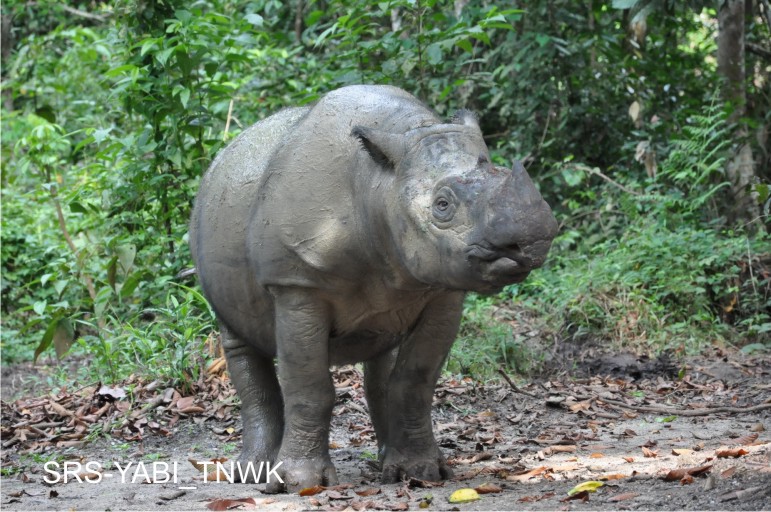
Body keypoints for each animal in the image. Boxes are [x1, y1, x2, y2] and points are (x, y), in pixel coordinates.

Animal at [190, 84, 556, 492]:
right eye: (442, 205)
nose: (530, 243)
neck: (379, 188)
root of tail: (222, 158)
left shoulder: (443, 289)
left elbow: (415, 382)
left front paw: (424, 472)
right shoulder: (296, 283)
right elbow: (308, 385)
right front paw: (300, 483)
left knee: (383, 359)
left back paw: (390, 466)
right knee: (240, 342)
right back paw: (250, 473)